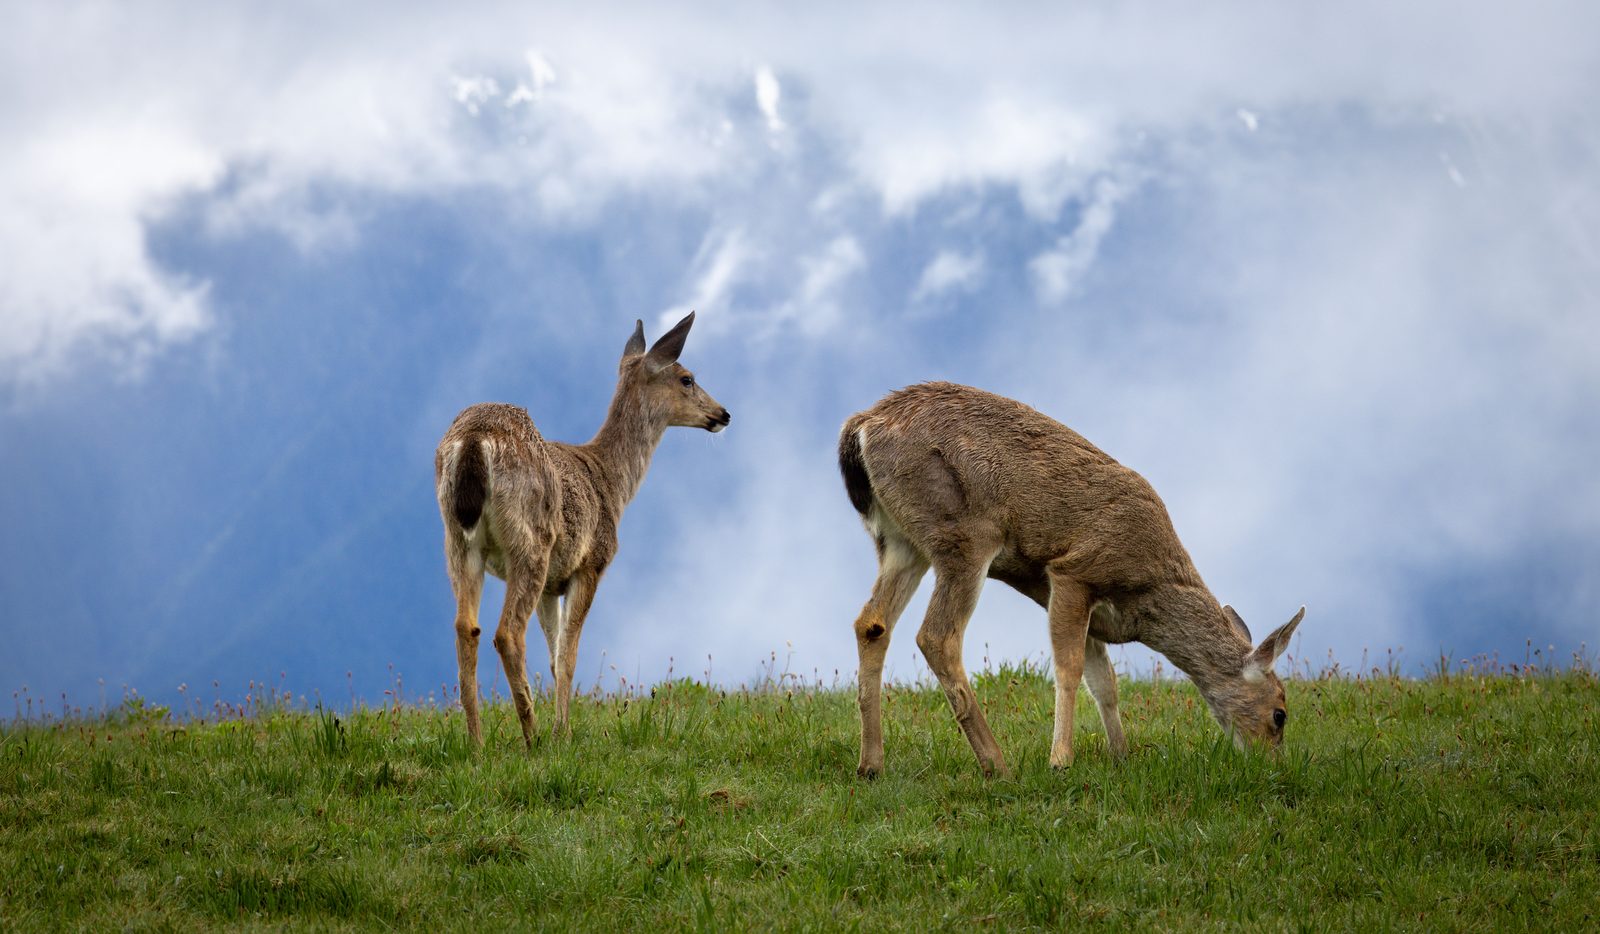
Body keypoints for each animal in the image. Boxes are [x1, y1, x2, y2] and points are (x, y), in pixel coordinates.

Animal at [434, 311, 730, 749]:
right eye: (687, 378)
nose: (724, 414)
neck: (611, 483)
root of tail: (473, 440)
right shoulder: (590, 564)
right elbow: (569, 655)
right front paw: (564, 732)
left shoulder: (552, 585)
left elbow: (555, 656)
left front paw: (562, 725)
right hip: (531, 541)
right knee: (507, 633)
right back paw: (533, 737)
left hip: (457, 541)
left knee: (464, 627)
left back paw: (476, 744)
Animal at [838, 381, 1305, 777]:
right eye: (1280, 714)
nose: (1272, 766)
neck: (1146, 595)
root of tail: (860, 427)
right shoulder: (1074, 572)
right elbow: (1069, 667)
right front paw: (1060, 760)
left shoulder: (1090, 609)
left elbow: (1106, 682)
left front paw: (1121, 755)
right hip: (964, 534)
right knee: (937, 636)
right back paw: (996, 764)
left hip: (900, 542)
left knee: (872, 623)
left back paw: (870, 765)